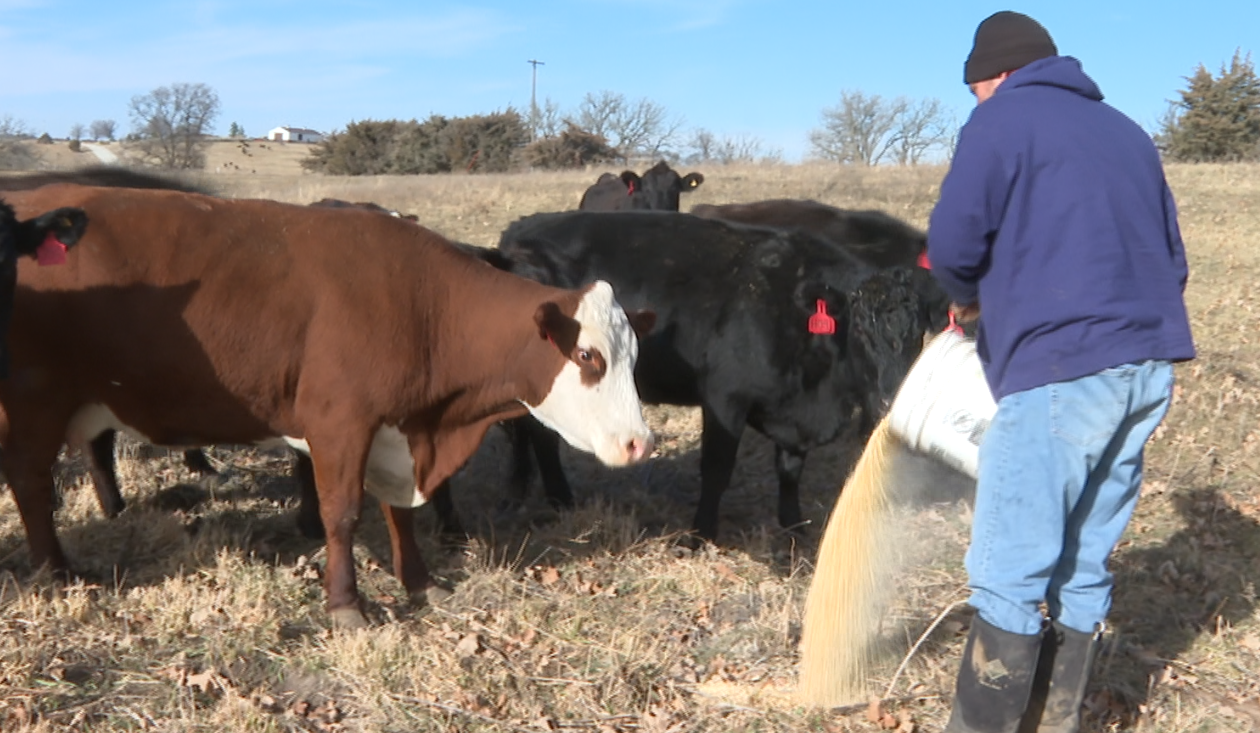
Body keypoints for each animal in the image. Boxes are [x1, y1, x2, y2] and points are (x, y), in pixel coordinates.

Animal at [0, 180, 655, 628]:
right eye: (589, 356)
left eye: (634, 356)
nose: (640, 442)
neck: (422, 304)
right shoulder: (340, 423)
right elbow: (342, 513)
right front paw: (346, 605)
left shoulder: (397, 431)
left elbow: (399, 514)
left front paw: (420, 583)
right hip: (34, 398)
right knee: (30, 481)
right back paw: (56, 569)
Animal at [495, 210, 945, 541]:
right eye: (860, 331)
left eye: (917, 334)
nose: (890, 400)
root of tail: (521, 230)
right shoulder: (724, 399)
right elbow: (716, 469)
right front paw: (700, 535)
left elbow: (790, 470)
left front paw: (793, 526)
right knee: (537, 435)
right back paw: (556, 497)